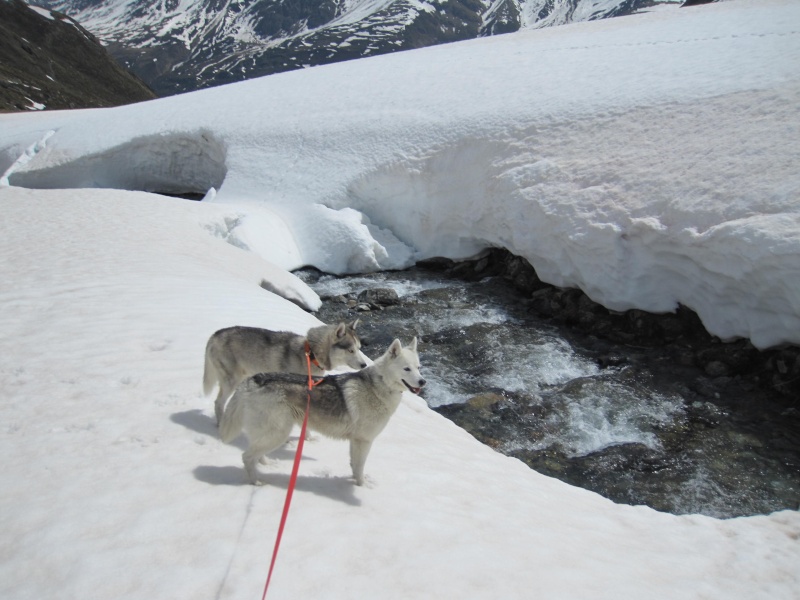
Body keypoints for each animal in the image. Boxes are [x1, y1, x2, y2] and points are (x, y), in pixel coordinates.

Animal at [202, 322, 368, 424]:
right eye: (351, 350)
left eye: (359, 348)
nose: (364, 364)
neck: (311, 354)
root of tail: (215, 335)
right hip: (232, 380)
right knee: (218, 402)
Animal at [219, 340, 424, 486]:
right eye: (407, 369)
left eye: (418, 368)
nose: (423, 382)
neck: (378, 386)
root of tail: (253, 380)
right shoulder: (364, 441)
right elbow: (359, 467)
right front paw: (362, 486)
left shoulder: (355, 441)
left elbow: (353, 464)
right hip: (278, 433)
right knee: (247, 457)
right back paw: (256, 482)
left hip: (270, 433)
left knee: (255, 453)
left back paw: (267, 465)